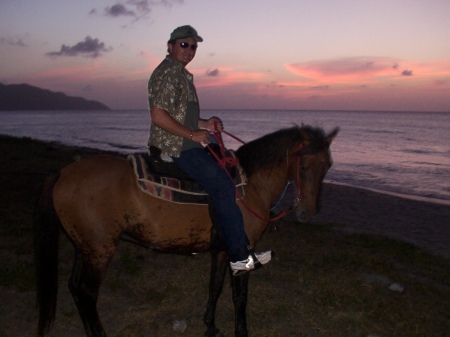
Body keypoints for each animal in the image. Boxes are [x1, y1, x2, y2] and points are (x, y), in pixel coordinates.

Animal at [34, 124, 338, 336]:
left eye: (328, 165)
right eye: (304, 165)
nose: (307, 213)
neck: (250, 185)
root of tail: (63, 173)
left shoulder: (222, 250)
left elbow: (215, 287)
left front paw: (210, 326)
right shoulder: (243, 250)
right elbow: (239, 297)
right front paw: (241, 331)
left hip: (84, 247)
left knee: (75, 288)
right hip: (100, 251)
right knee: (87, 293)